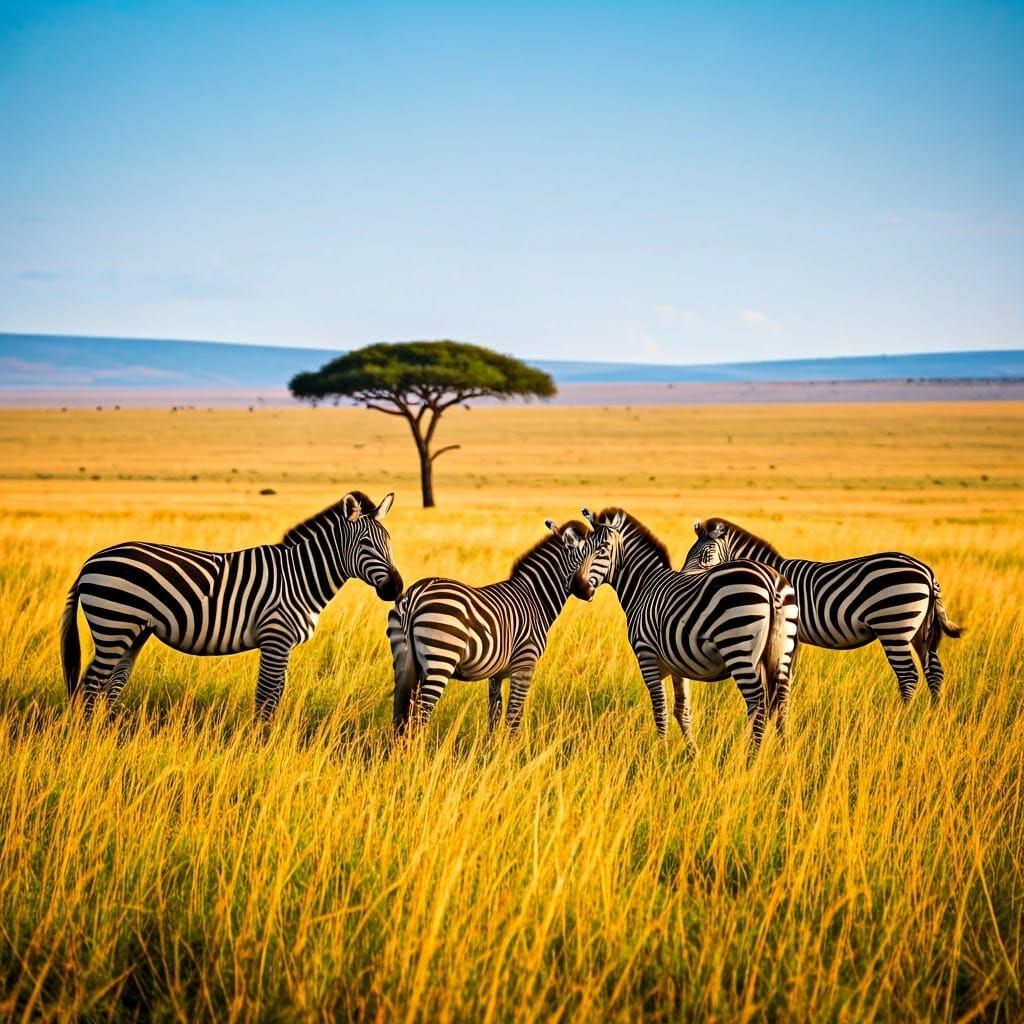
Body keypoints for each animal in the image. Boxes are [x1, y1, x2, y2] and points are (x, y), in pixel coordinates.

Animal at [60, 491, 403, 720]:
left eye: (389, 541)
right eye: (365, 544)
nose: (396, 587)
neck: (299, 577)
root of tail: (90, 562)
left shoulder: (282, 644)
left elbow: (275, 693)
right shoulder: (275, 638)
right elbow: (267, 696)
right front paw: (261, 745)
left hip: (132, 631)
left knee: (111, 684)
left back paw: (105, 734)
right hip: (114, 622)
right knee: (91, 685)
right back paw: (88, 738)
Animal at [387, 519, 610, 736]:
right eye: (586, 554)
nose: (585, 590)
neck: (535, 598)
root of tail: (415, 595)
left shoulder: (497, 673)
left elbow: (495, 715)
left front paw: (491, 746)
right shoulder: (525, 665)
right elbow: (514, 716)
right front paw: (512, 747)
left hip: (405, 663)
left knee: (401, 716)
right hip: (441, 658)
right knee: (419, 716)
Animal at [577, 507, 799, 753]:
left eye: (602, 550)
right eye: (582, 549)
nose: (577, 588)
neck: (643, 586)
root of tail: (771, 581)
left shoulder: (646, 656)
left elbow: (660, 709)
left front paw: (661, 752)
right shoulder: (677, 664)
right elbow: (682, 710)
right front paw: (693, 753)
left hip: (739, 647)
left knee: (758, 703)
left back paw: (751, 757)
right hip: (781, 651)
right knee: (781, 701)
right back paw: (782, 753)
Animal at [682, 517, 962, 704]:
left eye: (706, 554)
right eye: (689, 552)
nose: (683, 579)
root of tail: (926, 571)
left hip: (894, 626)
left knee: (908, 676)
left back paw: (902, 719)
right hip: (921, 630)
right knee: (934, 672)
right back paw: (931, 716)